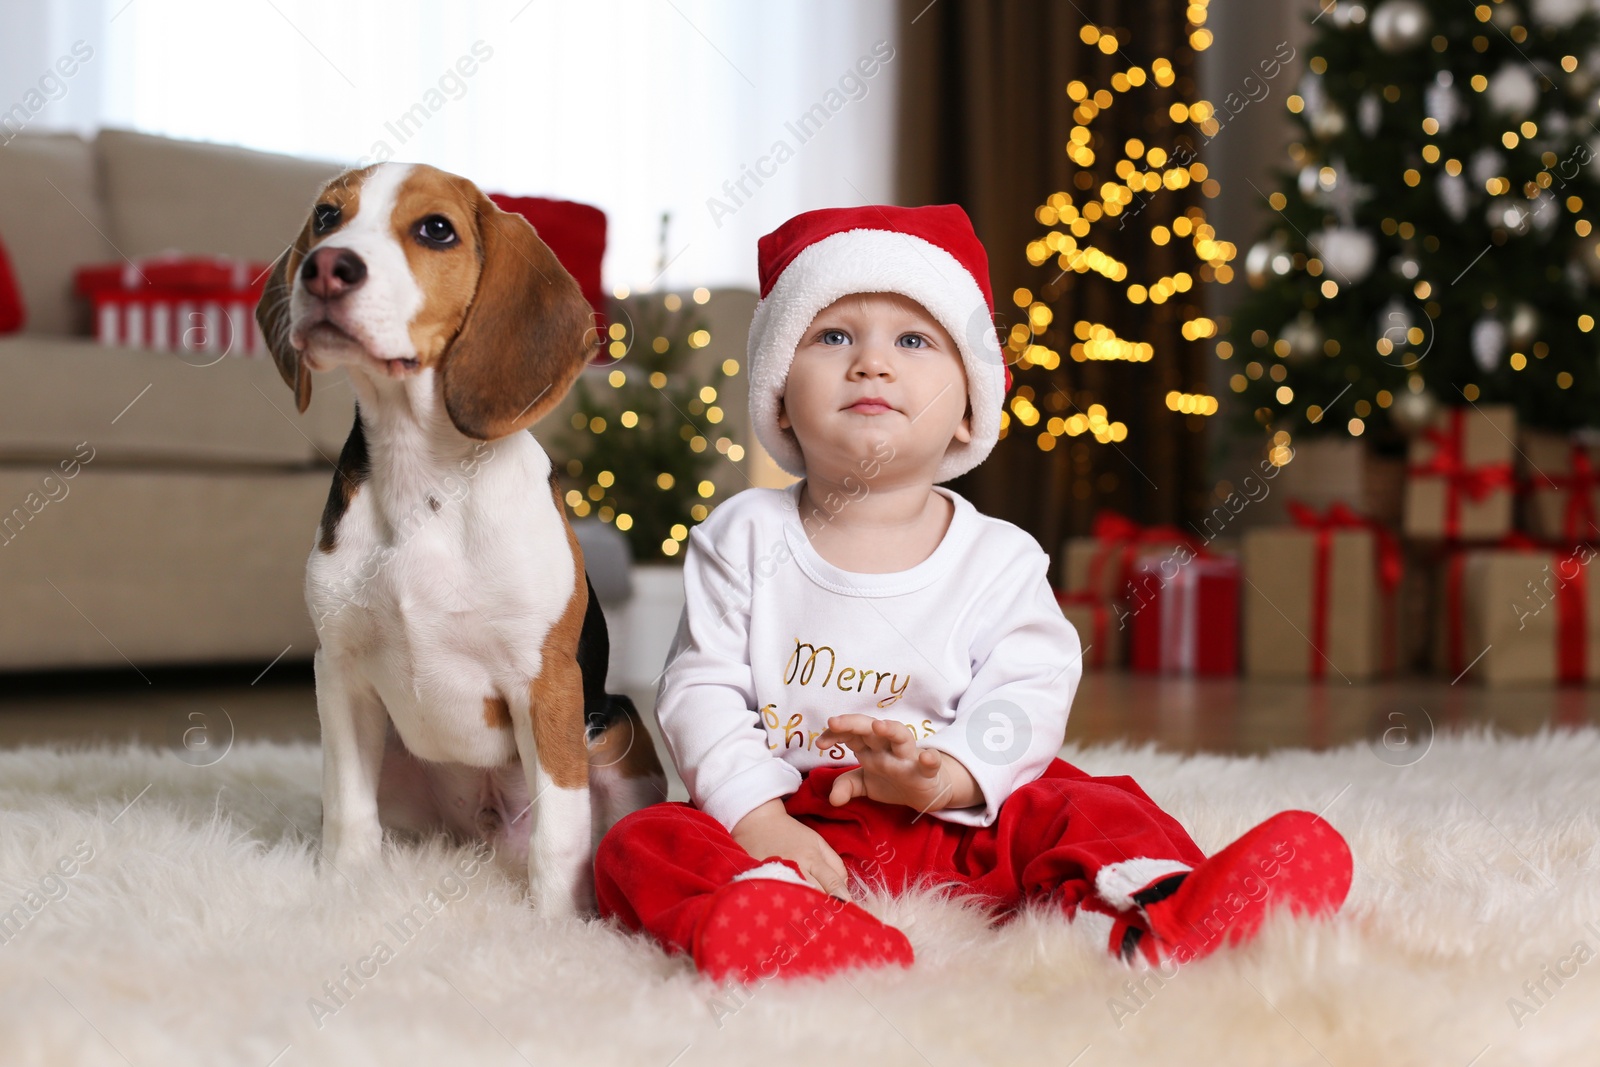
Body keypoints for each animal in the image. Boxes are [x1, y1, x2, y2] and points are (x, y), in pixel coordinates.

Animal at [257, 163, 668, 915]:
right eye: (327, 217)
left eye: (436, 230)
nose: (326, 266)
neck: (423, 474)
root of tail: (484, 836)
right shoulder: (341, 673)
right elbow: (347, 809)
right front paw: (344, 891)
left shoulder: (549, 684)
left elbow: (561, 830)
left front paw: (554, 925)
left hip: (617, 729)